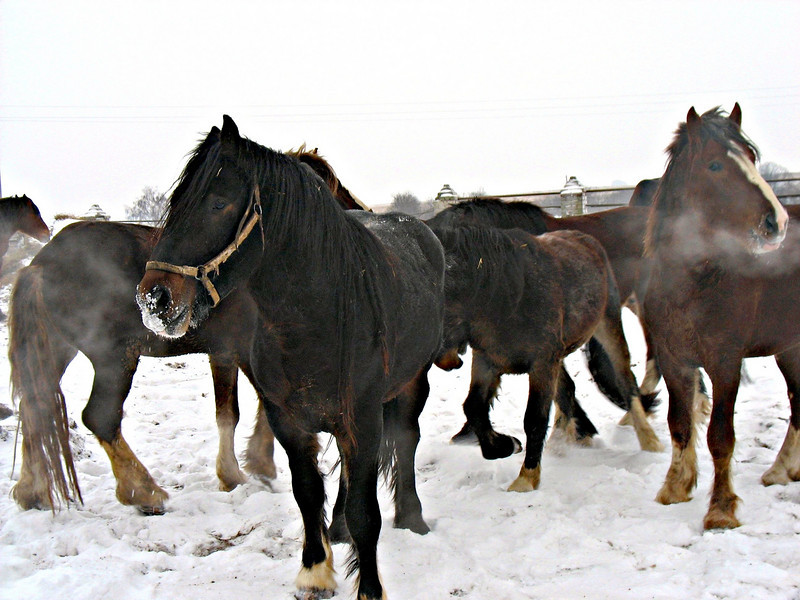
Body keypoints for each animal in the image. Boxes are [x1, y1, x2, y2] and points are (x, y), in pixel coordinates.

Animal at [8, 146, 366, 516]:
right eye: (330, 186)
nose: (362, 215)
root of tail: (40, 264)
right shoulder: (248, 352)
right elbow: (259, 409)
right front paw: (254, 466)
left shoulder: (226, 351)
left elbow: (230, 413)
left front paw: (239, 469)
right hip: (114, 358)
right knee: (100, 418)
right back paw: (143, 491)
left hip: (55, 349)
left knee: (35, 403)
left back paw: (32, 490)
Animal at [137, 115, 444, 596]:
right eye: (175, 203)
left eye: (219, 203)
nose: (154, 299)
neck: (314, 322)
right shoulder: (289, 420)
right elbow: (307, 493)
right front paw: (316, 569)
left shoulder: (363, 419)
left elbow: (366, 512)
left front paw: (369, 587)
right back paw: (338, 529)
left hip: (413, 382)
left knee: (406, 439)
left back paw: (412, 518)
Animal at [644, 104, 792, 528]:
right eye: (714, 165)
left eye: (752, 158)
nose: (776, 222)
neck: (693, 284)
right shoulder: (674, 359)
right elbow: (679, 424)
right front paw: (675, 488)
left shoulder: (725, 362)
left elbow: (720, 436)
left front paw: (721, 509)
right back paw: (781, 469)